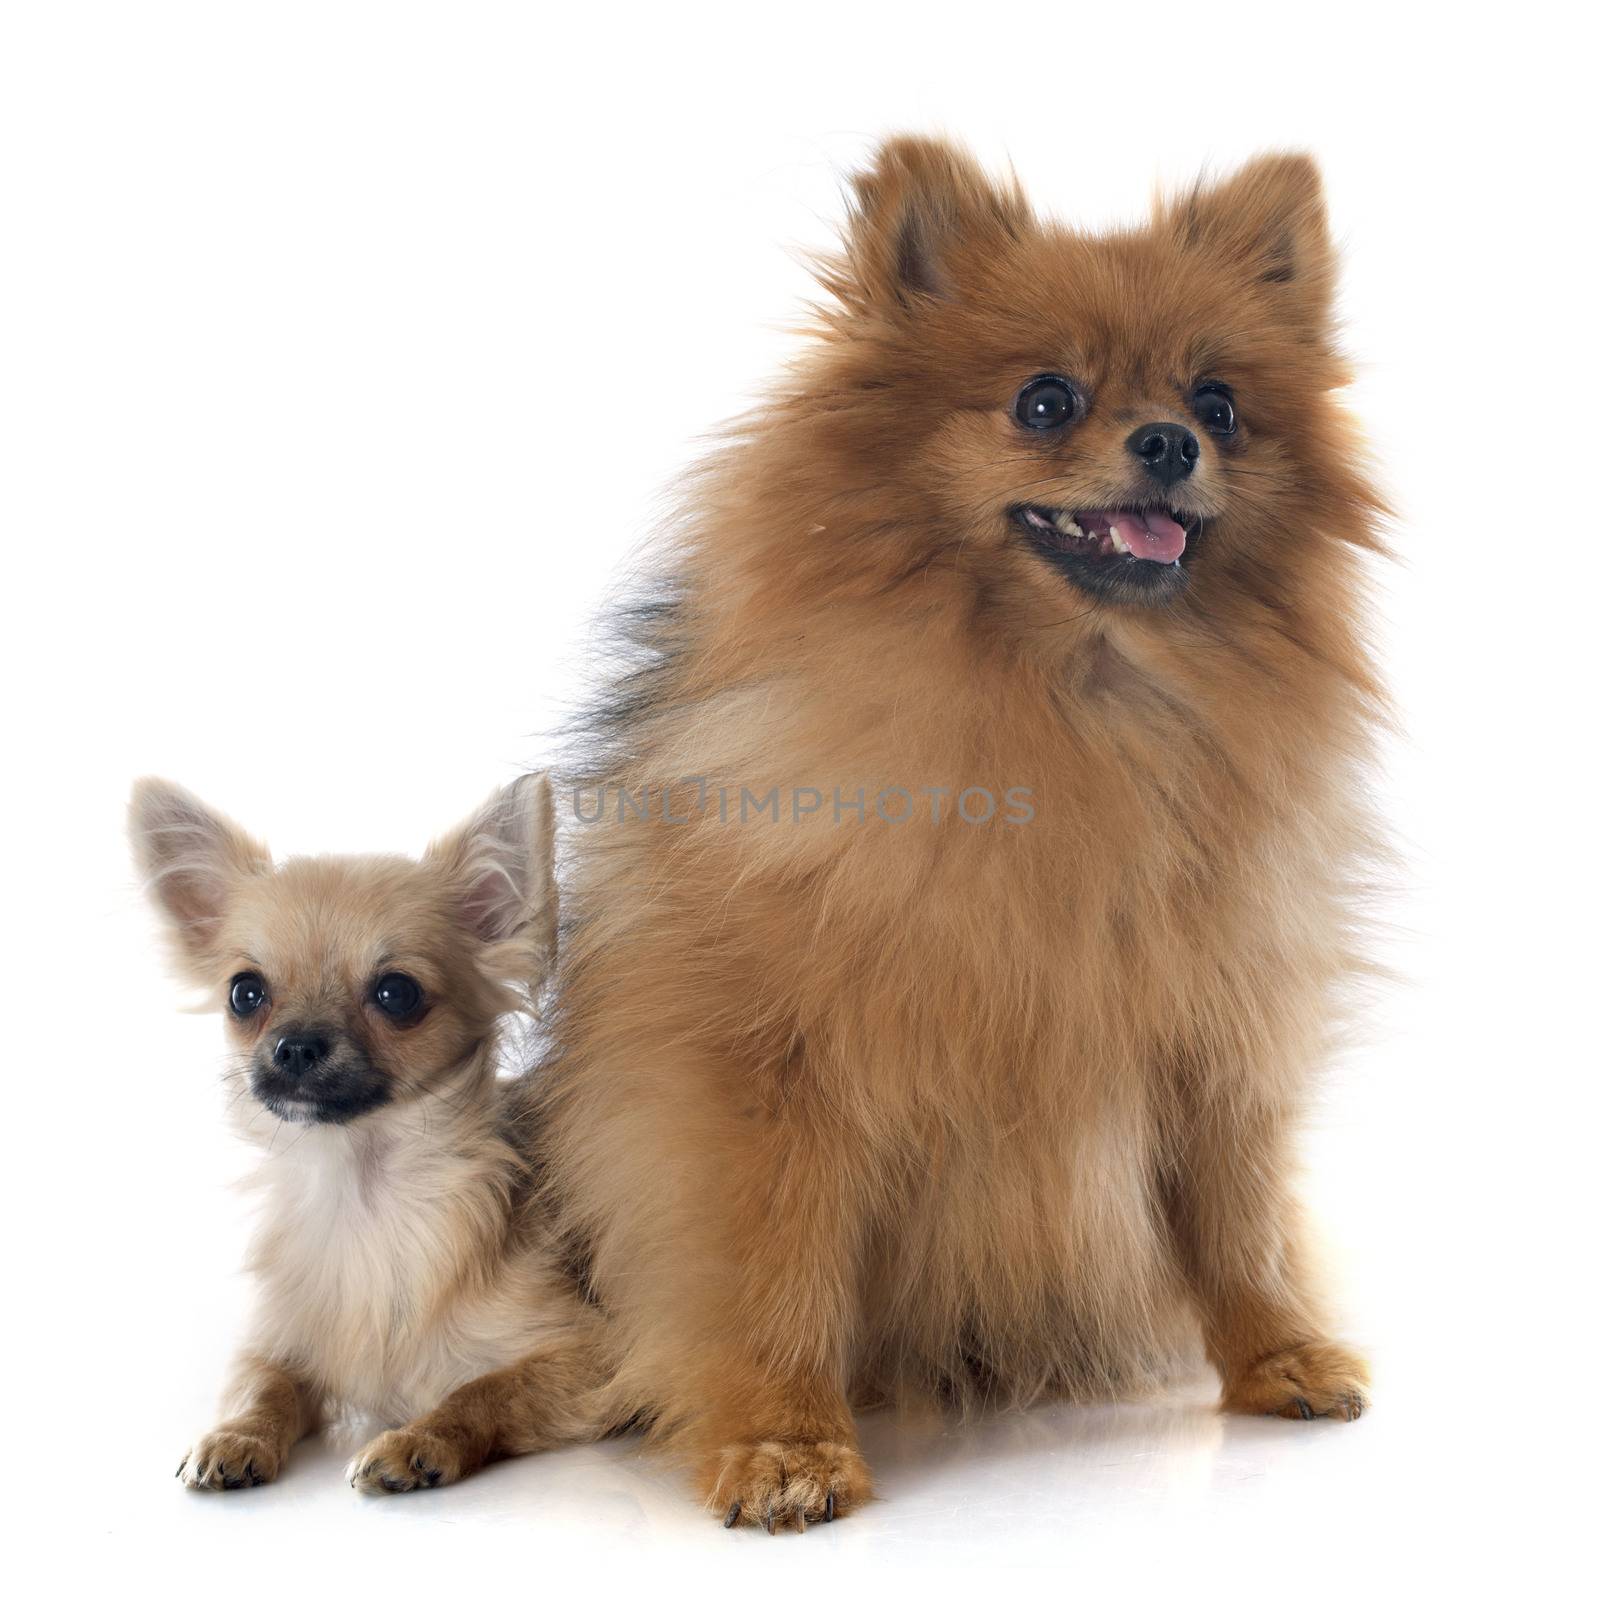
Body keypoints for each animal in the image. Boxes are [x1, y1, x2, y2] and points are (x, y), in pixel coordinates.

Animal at [128, 774, 604, 1484]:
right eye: (244, 993)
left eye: (396, 993)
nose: (295, 1046)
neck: (360, 1189)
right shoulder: (277, 1340)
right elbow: (263, 1386)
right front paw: (236, 1437)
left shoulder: (597, 1364)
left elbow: (481, 1391)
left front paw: (419, 1441)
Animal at [540, 144, 1388, 1529]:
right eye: (1044, 401)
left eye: (1217, 403)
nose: (1168, 441)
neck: (1077, 707)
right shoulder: (763, 1074)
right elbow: (772, 1266)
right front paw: (781, 1440)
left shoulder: (1214, 1032)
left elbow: (1240, 1219)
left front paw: (1280, 1356)